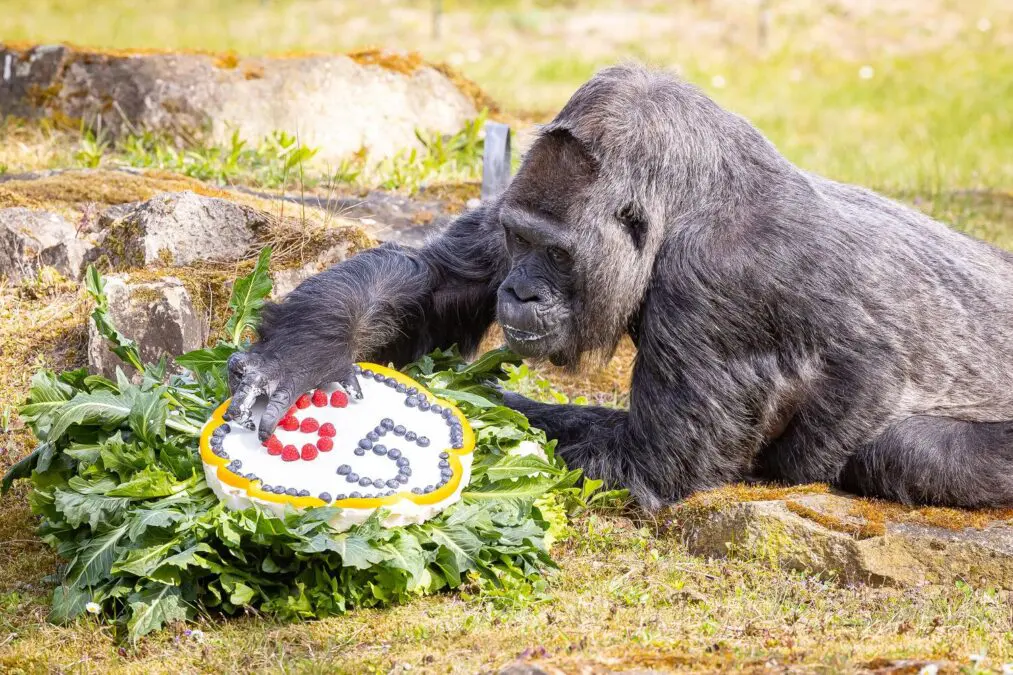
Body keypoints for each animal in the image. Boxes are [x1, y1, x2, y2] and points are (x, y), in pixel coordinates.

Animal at [227, 64, 1013, 510]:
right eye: (521, 241)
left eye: (557, 254)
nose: (520, 293)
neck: (692, 195)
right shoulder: (519, 189)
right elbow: (435, 282)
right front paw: (303, 354)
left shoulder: (719, 281)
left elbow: (646, 467)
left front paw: (479, 410)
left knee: (903, 450)